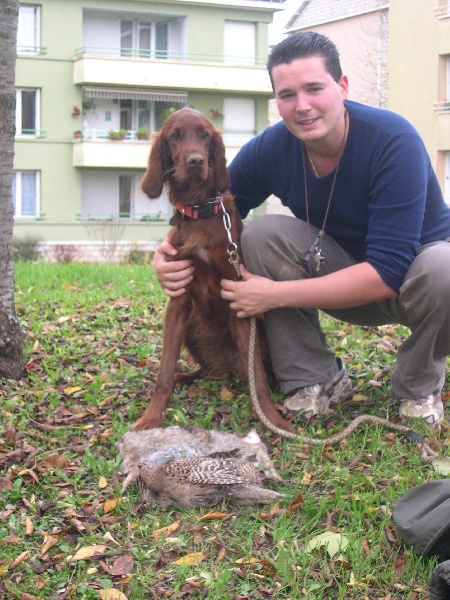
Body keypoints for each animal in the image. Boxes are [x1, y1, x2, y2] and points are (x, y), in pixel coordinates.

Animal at [133, 108, 296, 434]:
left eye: (205, 134)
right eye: (175, 135)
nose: (196, 161)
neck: (199, 209)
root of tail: (230, 370)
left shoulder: (239, 295)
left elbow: (258, 378)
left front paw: (271, 419)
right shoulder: (178, 299)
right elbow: (165, 369)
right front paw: (152, 416)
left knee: (254, 371)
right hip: (192, 327)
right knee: (206, 371)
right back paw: (187, 377)